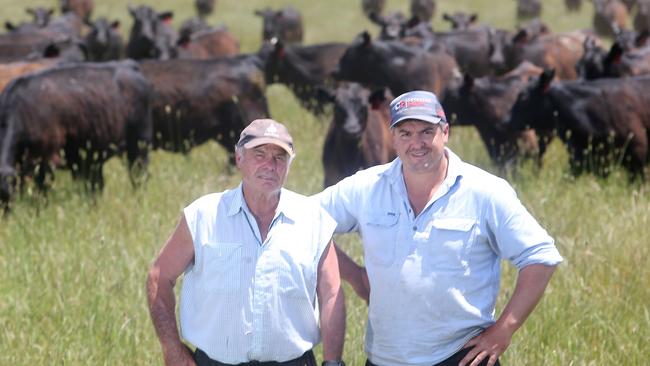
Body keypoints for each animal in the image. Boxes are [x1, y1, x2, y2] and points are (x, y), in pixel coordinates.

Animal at [0, 61, 153, 207]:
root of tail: (129, 66)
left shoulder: (45, 160)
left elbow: (42, 191)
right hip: (93, 157)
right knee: (96, 185)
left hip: (139, 148)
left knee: (139, 177)